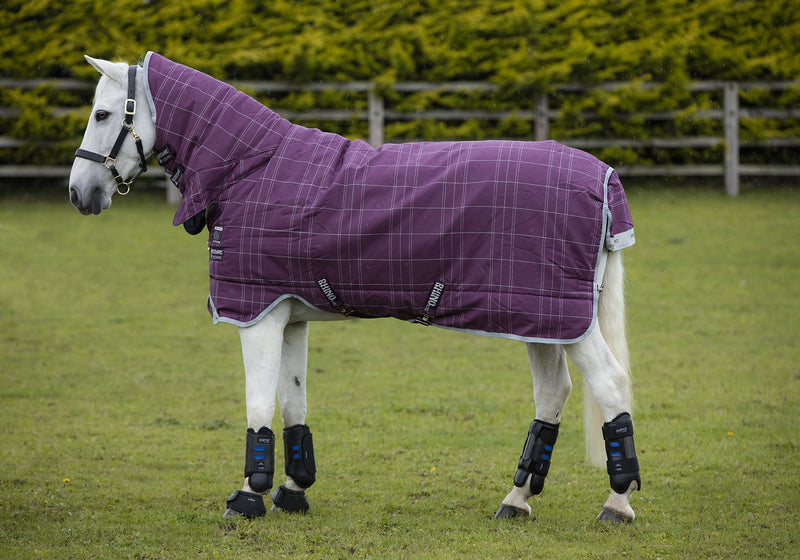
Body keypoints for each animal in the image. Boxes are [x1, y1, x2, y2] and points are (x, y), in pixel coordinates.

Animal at [69, 52, 641, 523]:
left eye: (102, 115)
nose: (79, 193)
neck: (252, 169)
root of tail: (604, 175)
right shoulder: (290, 317)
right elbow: (293, 405)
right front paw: (293, 492)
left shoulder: (258, 316)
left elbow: (258, 406)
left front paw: (248, 497)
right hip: (539, 317)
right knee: (554, 393)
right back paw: (515, 501)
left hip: (561, 319)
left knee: (610, 385)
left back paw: (616, 505)